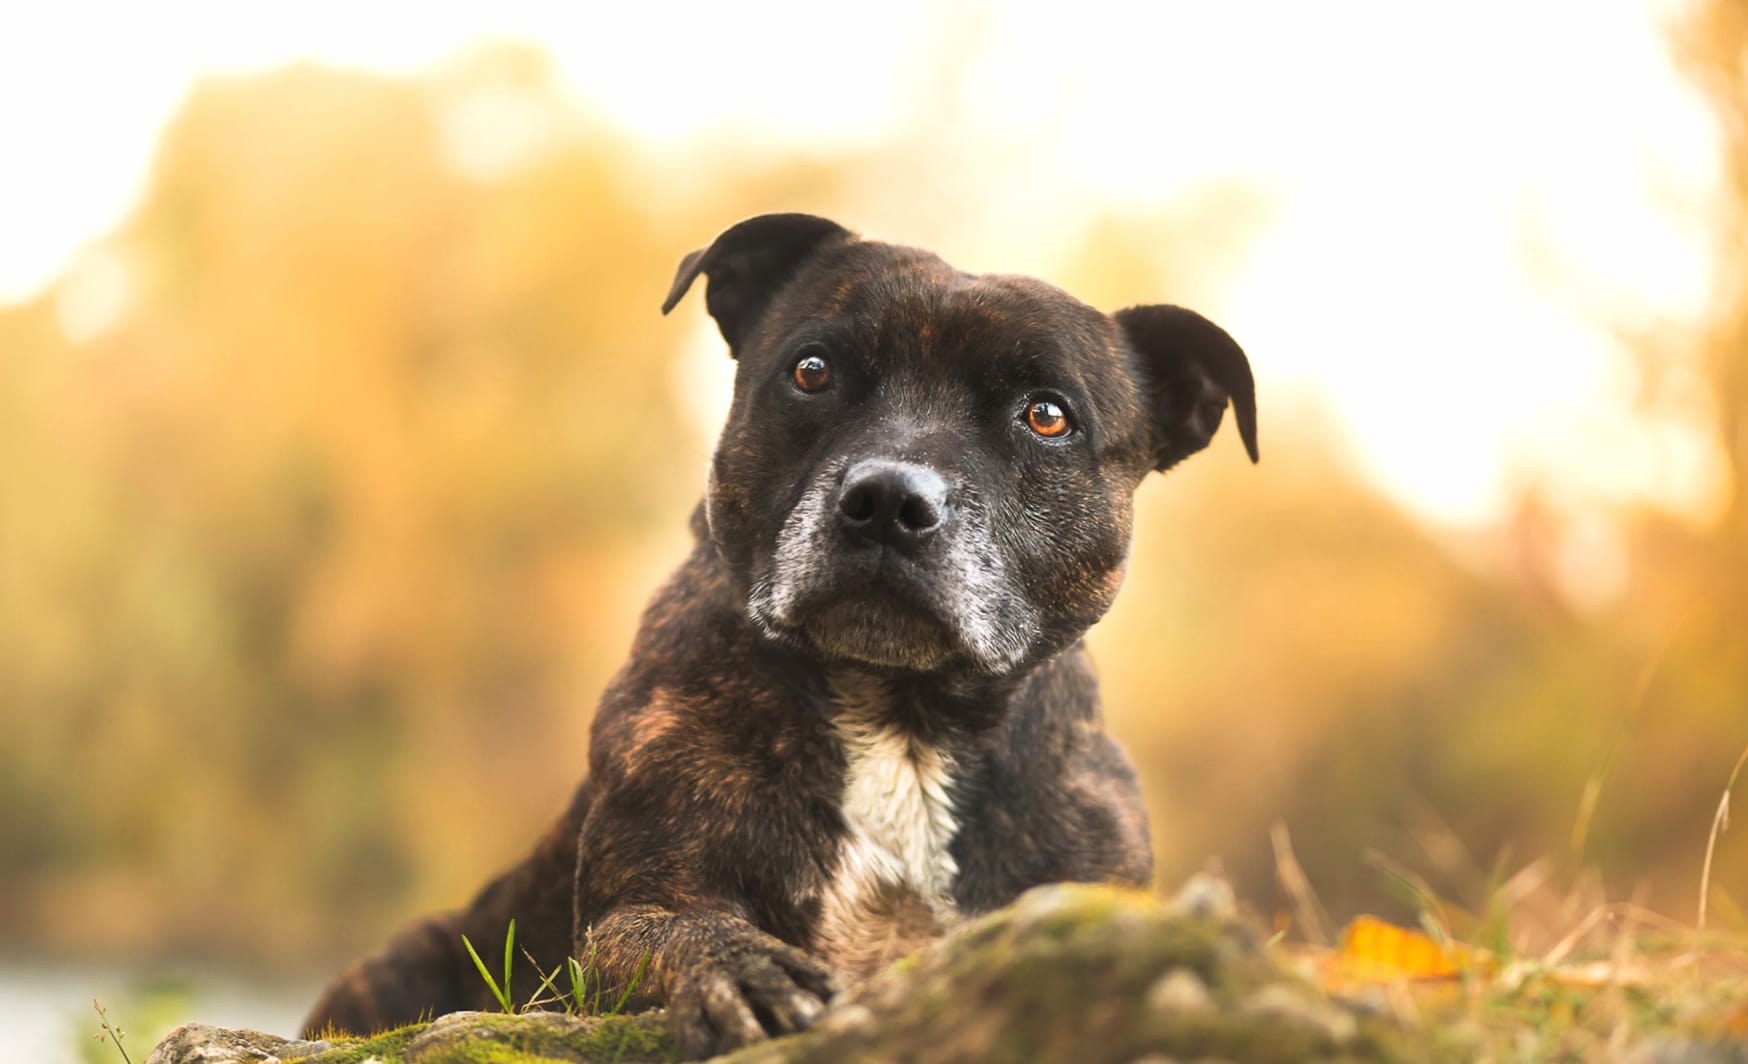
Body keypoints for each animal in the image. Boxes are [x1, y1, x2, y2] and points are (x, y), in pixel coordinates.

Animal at [300, 211, 1258, 1055]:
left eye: (1047, 415)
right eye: (813, 370)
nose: (889, 499)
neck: (902, 718)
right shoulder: (637, 904)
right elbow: (669, 932)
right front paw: (743, 971)